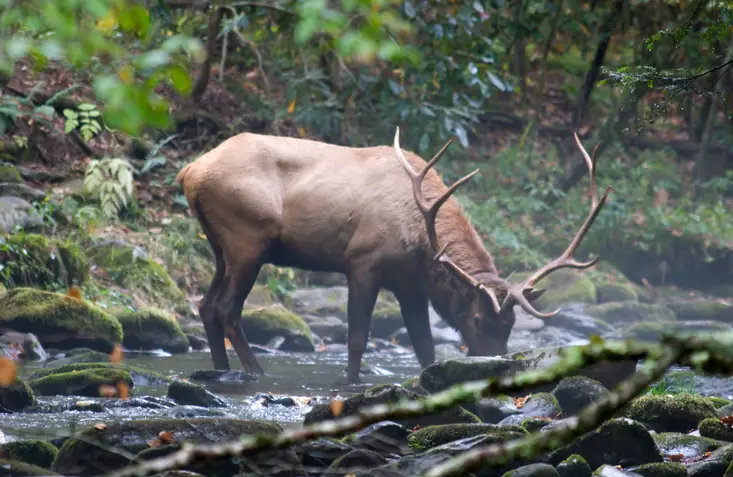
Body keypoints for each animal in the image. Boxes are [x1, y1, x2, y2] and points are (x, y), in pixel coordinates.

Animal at [174, 127, 608, 384]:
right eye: (478, 319)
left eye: (512, 325)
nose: (497, 368)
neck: (422, 244)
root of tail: (189, 171)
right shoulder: (362, 264)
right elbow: (357, 338)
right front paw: (351, 382)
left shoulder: (410, 285)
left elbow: (425, 346)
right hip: (248, 239)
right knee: (227, 308)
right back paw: (257, 372)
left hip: (220, 247)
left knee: (207, 305)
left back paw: (221, 370)